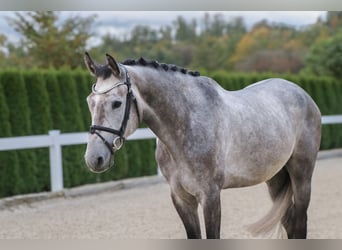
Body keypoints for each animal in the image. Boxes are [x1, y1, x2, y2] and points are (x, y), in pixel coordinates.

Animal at [83, 52, 320, 238]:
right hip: (275, 178)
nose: (94, 158)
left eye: (116, 103)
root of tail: (302, 93)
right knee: (289, 222)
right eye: (89, 102)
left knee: (300, 223)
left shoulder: (210, 196)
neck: (186, 123)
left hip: (301, 175)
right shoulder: (181, 198)